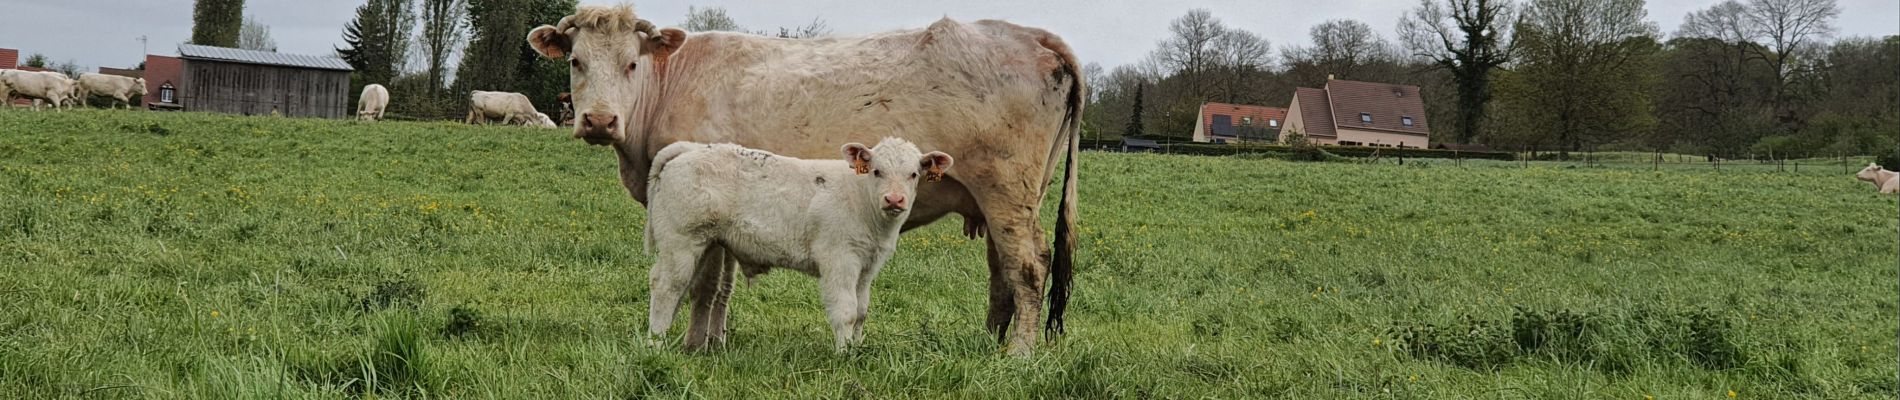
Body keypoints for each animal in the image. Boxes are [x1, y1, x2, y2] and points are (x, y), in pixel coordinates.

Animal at [646, 137, 957, 350]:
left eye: (913, 174)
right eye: (876, 171)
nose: (894, 199)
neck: (862, 201)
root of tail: (691, 148)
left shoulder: (868, 266)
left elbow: (861, 311)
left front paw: (857, 348)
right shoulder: (840, 258)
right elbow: (846, 310)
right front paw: (844, 354)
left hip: (703, 243)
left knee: (680, 289)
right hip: (680, 240)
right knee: (666, 287)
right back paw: (656, 344)